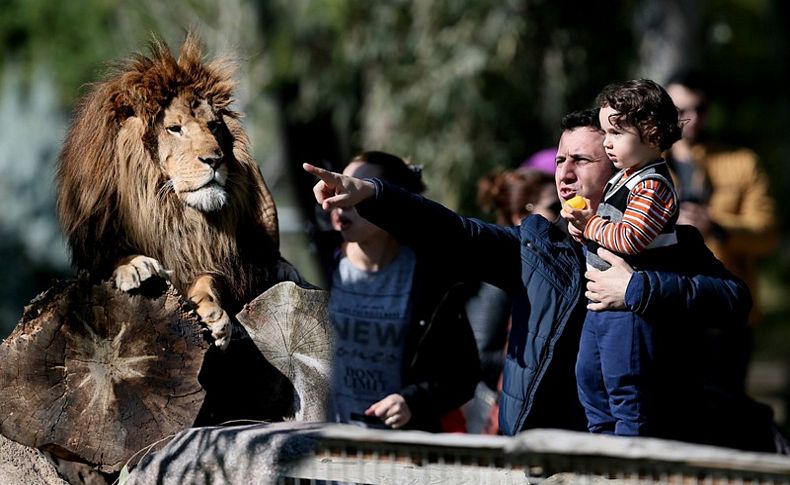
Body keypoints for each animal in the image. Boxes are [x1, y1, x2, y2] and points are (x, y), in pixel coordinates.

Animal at [55, 34, 304, 350]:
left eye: (213, 126)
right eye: (175, 128)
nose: (215, 159)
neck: (166, 208)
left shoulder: (215, 261)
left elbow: (209, 280)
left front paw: (213, 314)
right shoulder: (95, 247)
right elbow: (113, 258)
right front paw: (135, 266)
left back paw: (285, 270)